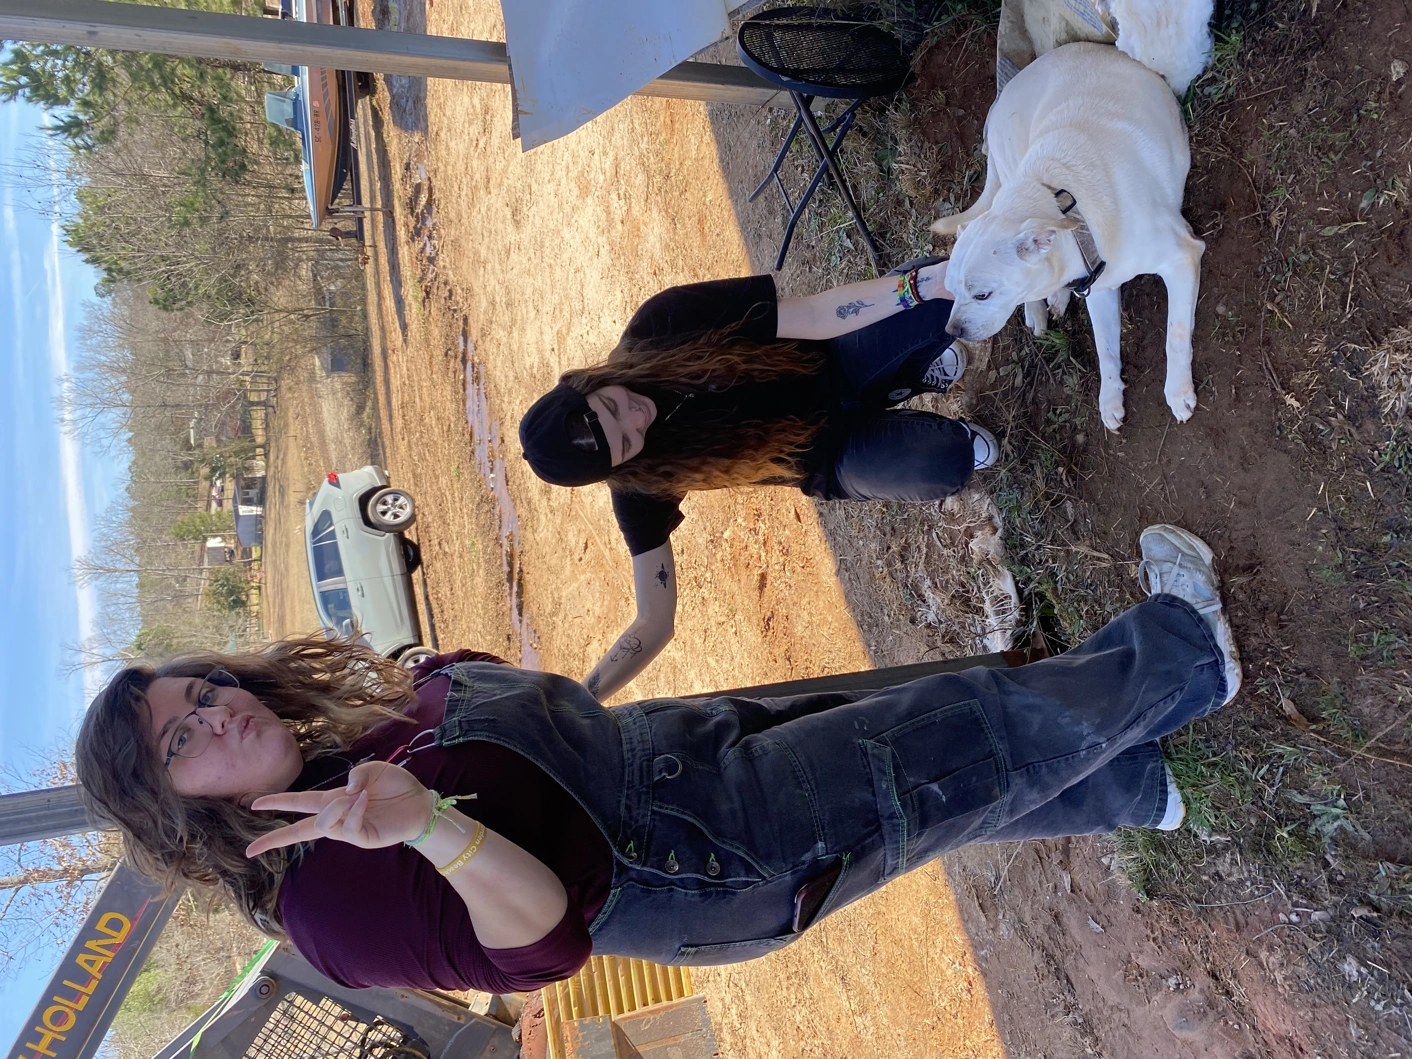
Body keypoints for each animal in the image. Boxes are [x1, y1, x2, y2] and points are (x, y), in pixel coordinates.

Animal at [937, 41, 1203, 432]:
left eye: (982, 294)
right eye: (950, 291)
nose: (952, 331)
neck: (1073, 212)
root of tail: (999, 102)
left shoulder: (1182, 255)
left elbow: (1176, 333)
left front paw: (1178, 390)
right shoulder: (1102, 290)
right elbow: (1105, 349)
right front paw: (1110, 399)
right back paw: (1042, 307)